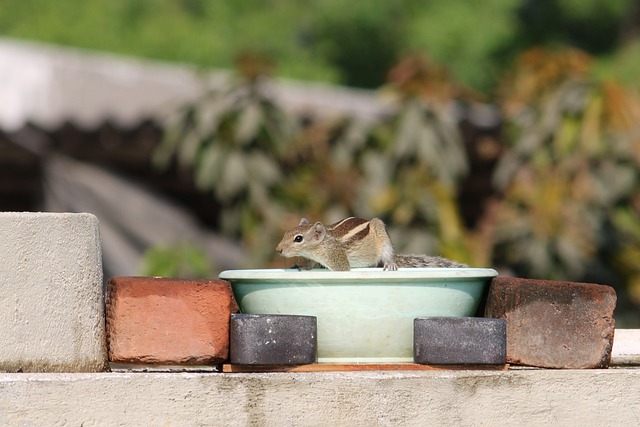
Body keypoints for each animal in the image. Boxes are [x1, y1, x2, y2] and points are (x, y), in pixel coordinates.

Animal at [275, 217, 467, 271]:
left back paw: (390, 264)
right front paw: (302, 266)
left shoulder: (336, 259)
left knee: (388, 256)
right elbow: (312, 265)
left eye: (298, 239)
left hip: (383, 237)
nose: (278, 249)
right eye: (285, 234)